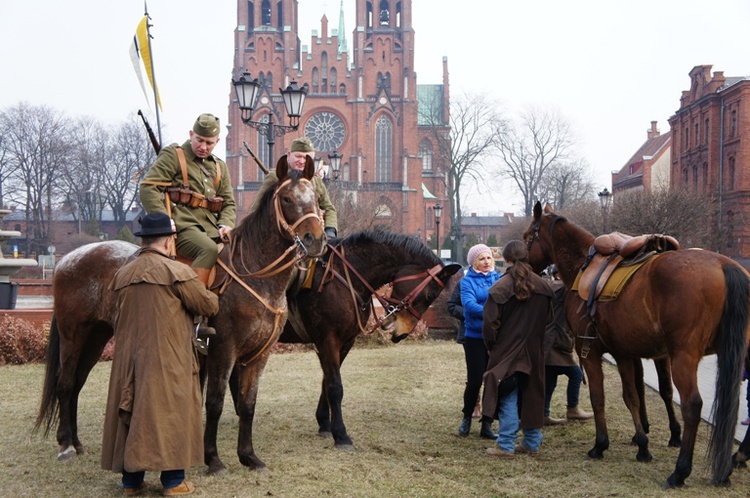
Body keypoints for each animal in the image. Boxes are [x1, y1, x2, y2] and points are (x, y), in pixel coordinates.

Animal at [34, 167, 326, 470]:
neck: (254, 273)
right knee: (66, 383)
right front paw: (213, 458)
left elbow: (248, 405)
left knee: (77, 383)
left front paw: (248, 456)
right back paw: (66, 444)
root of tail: (68, 258)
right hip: (73, 336)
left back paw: (75, 441)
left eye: (316, 197)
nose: (316, 239)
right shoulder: (223, 350)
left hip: (96, 338)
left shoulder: (258, 356)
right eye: (287, 198)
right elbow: (214, 403)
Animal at [274, 231, 464, 450]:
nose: (403, 333)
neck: (342, 279)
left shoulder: (345, 342)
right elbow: (335, 386)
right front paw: (341, 434)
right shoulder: (328, 339)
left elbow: (327, 381)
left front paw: (324, 422)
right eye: (431, 294)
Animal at [524, 201, 750, 486]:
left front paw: (601, 445)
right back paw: (731, 462)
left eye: (527, 236)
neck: (582, 266)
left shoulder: (590, 352)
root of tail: (723, 264)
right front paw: (642, 443)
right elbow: (632, 395)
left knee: (692, 405)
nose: (523, 266)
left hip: (683, 356)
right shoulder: (624, 353)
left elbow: (598, 397)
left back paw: (680, 471)